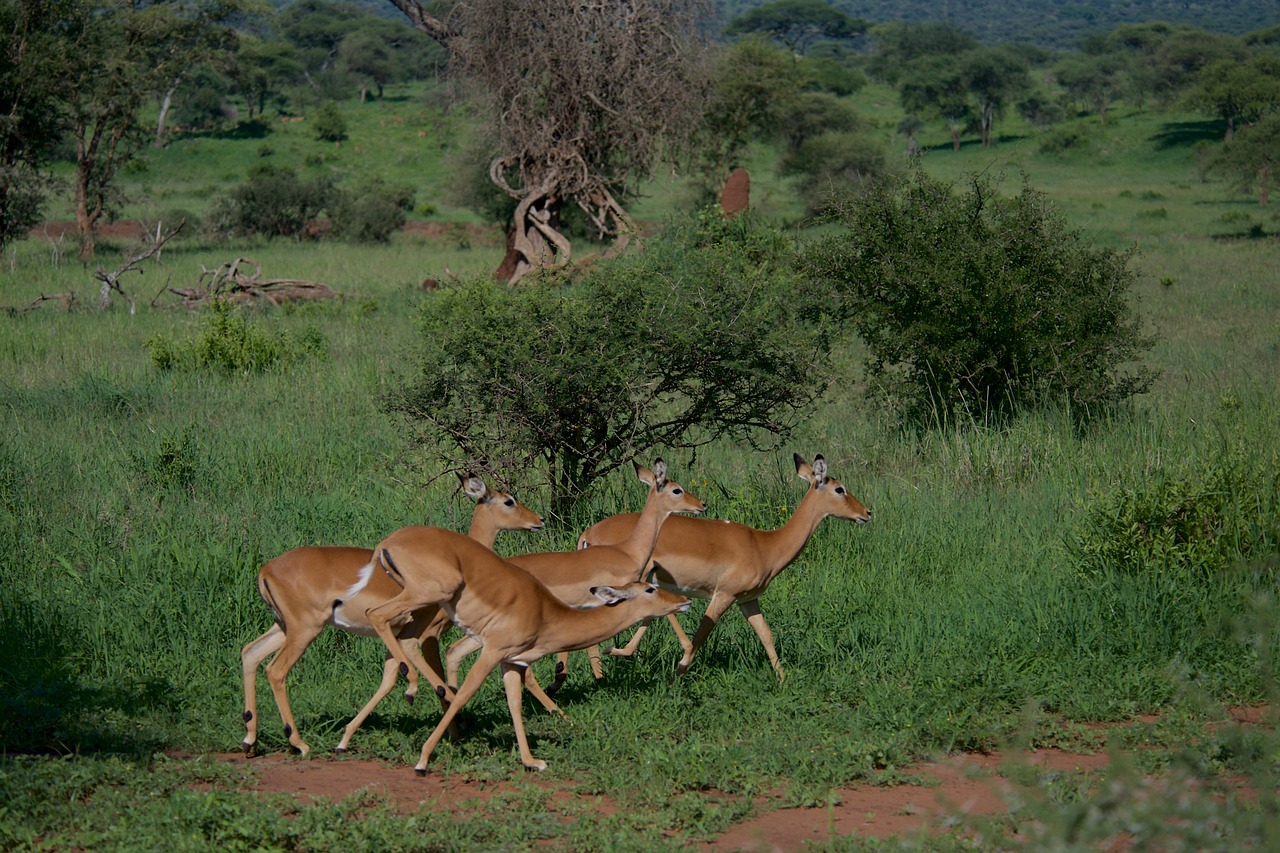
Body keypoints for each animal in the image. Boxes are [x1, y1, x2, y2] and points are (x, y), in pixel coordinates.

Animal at [239, 473, 544, 757]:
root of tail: (266, 570)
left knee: (250, 653)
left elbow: (387, 680)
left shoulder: (395, 637)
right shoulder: (427, 634)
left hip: (283, 627)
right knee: (276, 670)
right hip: (305, 630)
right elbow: (434, 676)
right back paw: (299, 743)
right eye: (509, 501)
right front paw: (454, 730)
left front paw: (345, 739)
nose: (539, 520)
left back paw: (250, 740)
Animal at [367, 527, 691, 772]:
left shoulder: (511, 662)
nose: (683, 601)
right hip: (428, 596)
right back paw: (411, 690)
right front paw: (423, 759)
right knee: (377, 615)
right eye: (649, 588)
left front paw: (531, 761)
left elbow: (515, 703)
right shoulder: (492, 652)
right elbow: (465, 695)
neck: (545, 613)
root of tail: (389, 542)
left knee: (405, 638)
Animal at [577, 453, 870, 682]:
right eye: (840, 489)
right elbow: (700, 637)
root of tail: (587, 535)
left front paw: (783, 681)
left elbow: (767, 636)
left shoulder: (748, 600)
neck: (765, 545)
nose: (867, 513)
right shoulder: (724, 595)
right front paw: (676, 679)